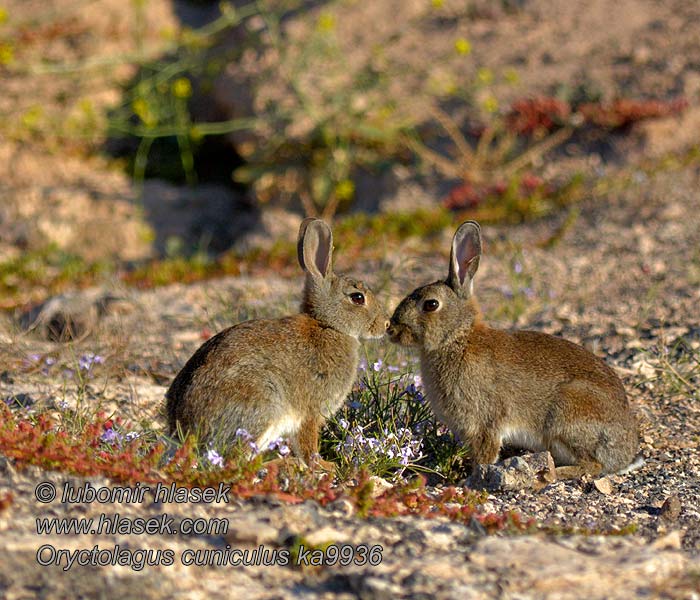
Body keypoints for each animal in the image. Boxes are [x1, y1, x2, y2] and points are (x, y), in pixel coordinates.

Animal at [167, 218, 392, 466]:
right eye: (357, 298)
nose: (386, 324)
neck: (328, 325)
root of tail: (185, 429)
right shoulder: (310, 412)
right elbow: (308, 445)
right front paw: (324, 466)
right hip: (261, 408)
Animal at [388, 220, 640, 474]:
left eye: (431, 304)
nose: (391, 329)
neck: (458, 338)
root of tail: (624, 454)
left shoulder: (485, 423)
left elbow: (485, 454)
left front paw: (474, 476)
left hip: (568, 415)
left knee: (591, 465)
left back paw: (550, 474)